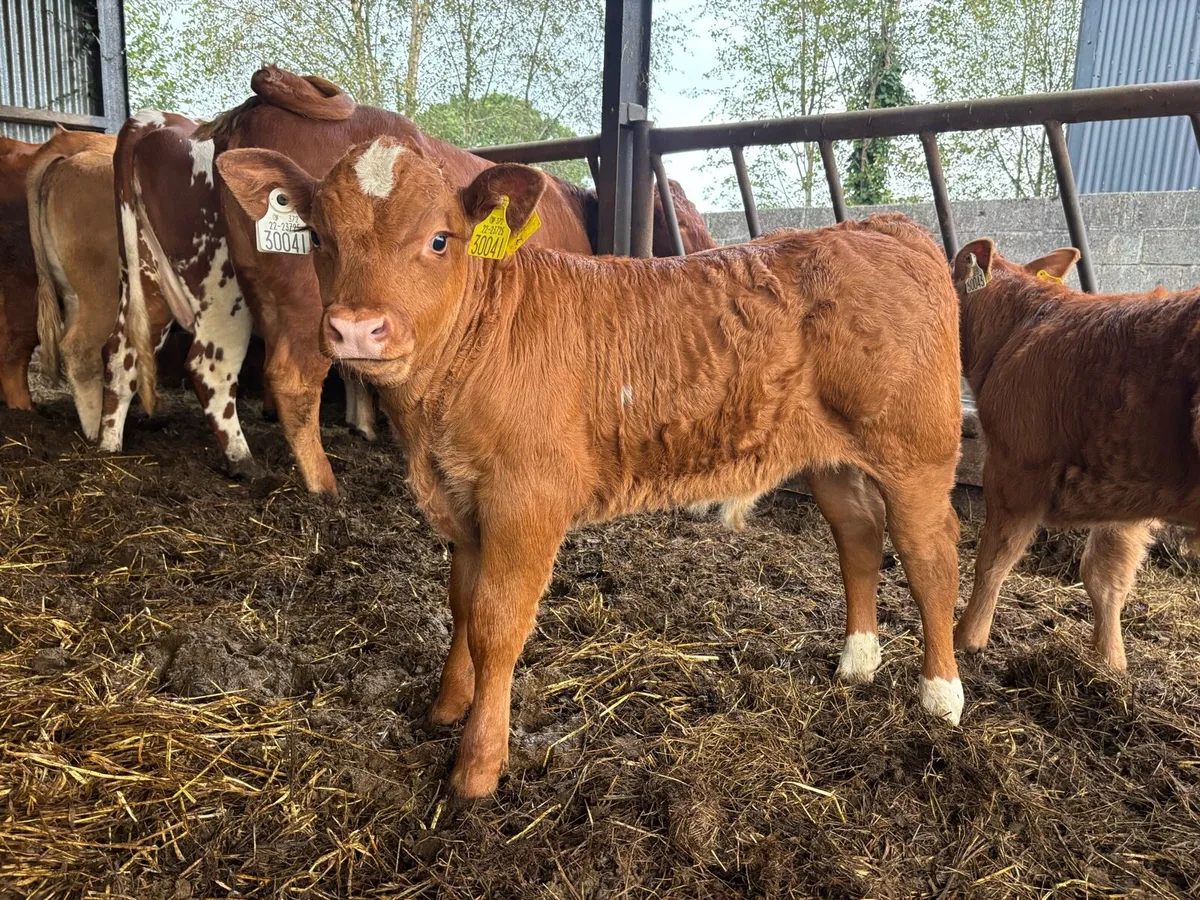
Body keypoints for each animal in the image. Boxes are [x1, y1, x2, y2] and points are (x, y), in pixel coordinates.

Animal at [218, 138, 966, 799]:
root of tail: (882, 226)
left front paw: (477, 767)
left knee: (930, 554)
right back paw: (857, 661)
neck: (436, 418)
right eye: (317, 237)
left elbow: (496, 622)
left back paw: (941, 695)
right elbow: (461, 603)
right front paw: (447, 706)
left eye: (439, 240)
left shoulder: (526, 499)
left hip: (917, 451)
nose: (356, 329)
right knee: (858, 534)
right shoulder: (461, 500)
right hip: (831, 457)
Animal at [950, 238, 1200, 670]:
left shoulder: (1015, 466)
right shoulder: (1124, 495)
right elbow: (1105, 576)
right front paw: (1111, 664)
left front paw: (966, 638)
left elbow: (993, 560)